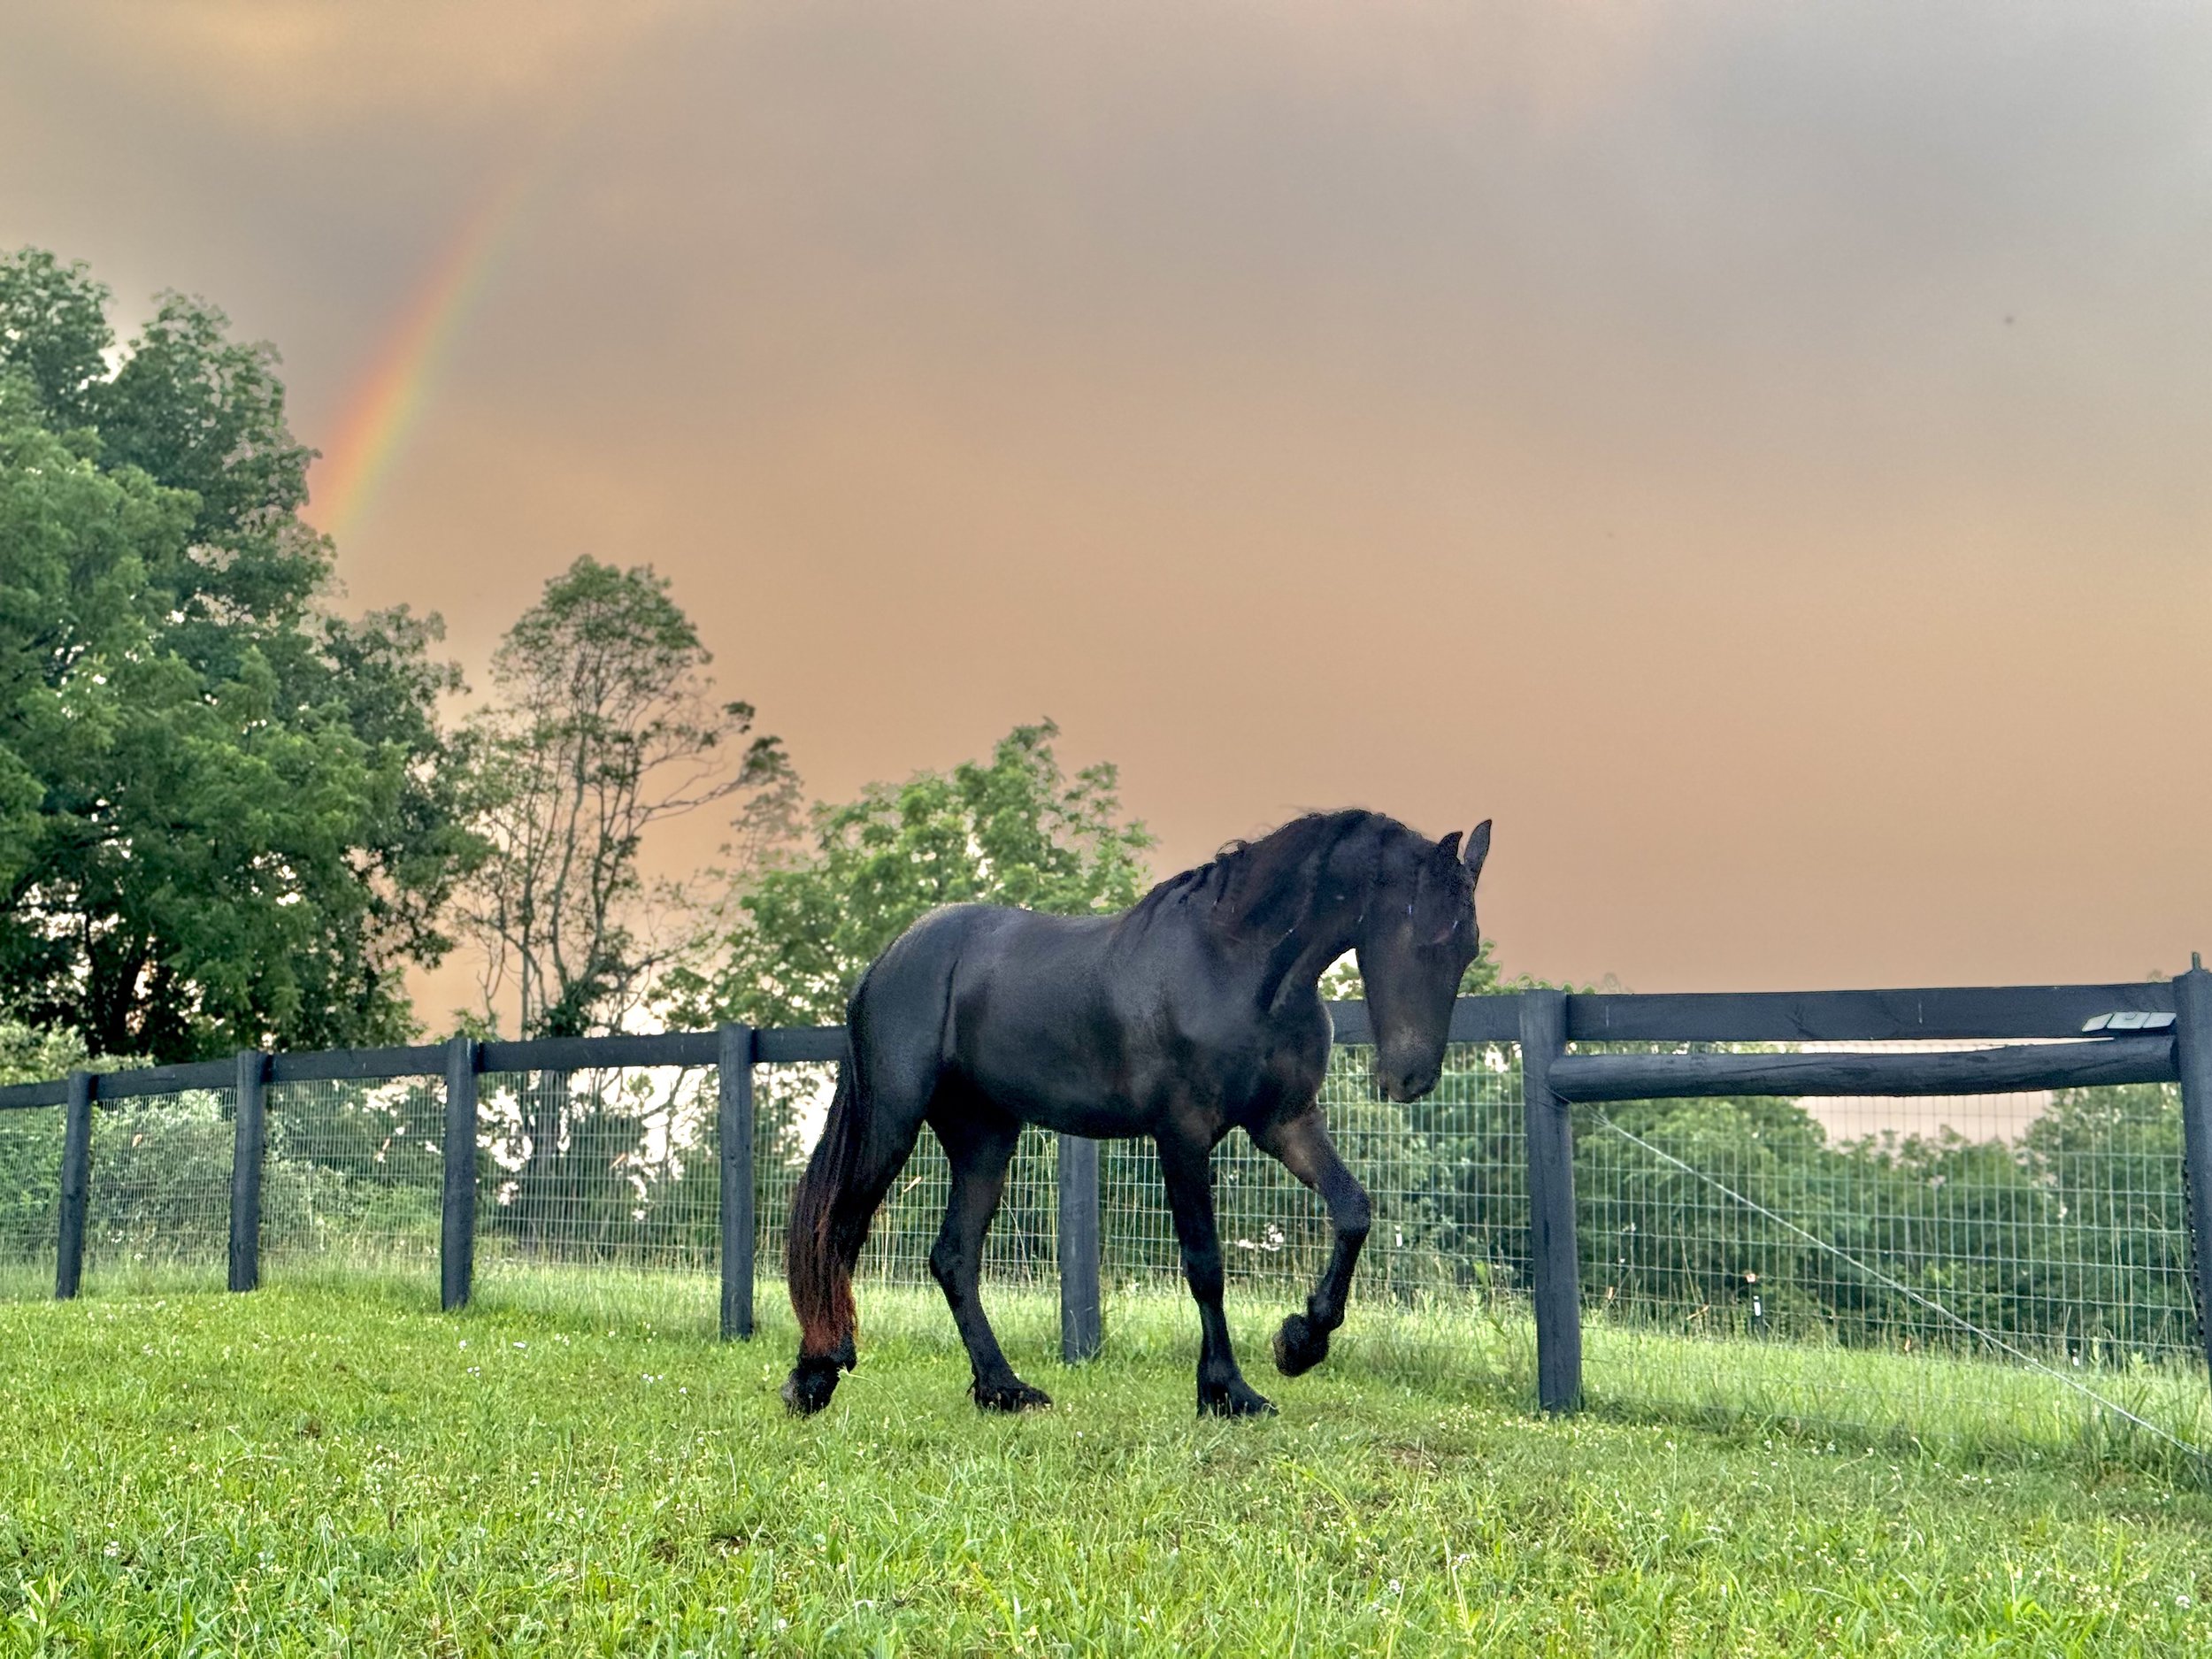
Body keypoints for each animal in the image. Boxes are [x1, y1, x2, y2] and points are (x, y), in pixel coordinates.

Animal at [783, 808, 1491, 1417]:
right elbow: (1205, 1264)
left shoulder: (1285, 1123)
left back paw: (1003, 1388)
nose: (1410, 1078)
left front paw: (1300, 1342)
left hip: (985, 1138)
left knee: (953, 1256)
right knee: (838, 1230)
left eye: (1469, 948)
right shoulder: (1182, 1134)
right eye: (1423, 935)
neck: (1235, 966)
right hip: (891, 1124)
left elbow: (1353, 1212)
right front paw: (1227, 1390)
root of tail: (886, 962)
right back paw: (816, 1374)